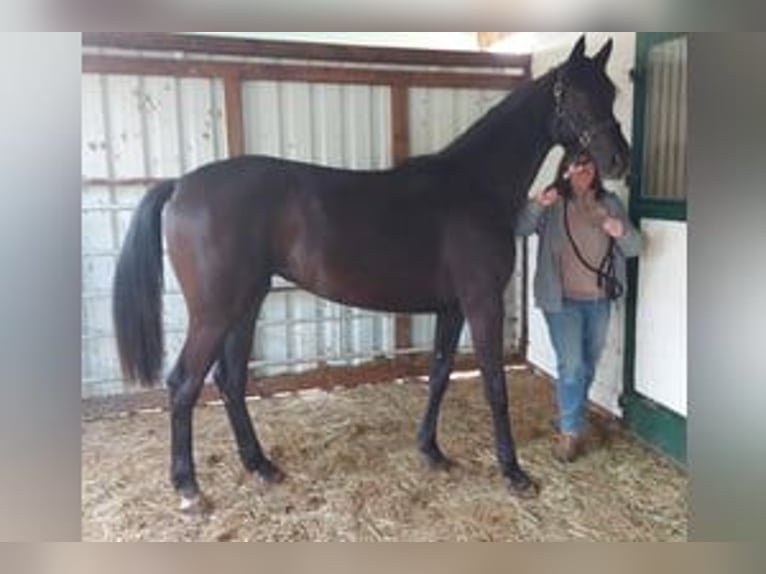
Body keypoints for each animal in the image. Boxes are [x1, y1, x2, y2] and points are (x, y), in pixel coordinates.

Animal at [112, 37, 632, 512]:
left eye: (611, 91)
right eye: (576, 93)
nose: (617, 160)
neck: (474, 187)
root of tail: (181, 186)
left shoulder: (452, 308)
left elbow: (439, 374)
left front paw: (431, 451)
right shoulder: (482, 302)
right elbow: (494, 387)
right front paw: (514, 472)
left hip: (246, 305)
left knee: (230, 381)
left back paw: (260, 465)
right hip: (215, 313)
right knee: (183, 384)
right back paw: (188, 489)